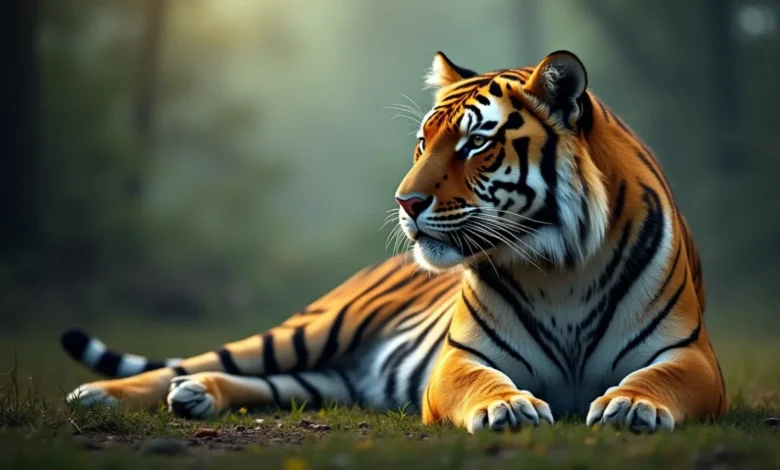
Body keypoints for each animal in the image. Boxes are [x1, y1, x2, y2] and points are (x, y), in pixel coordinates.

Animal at [62, 50, 726, 434]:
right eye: (423, 141)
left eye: (475, 143)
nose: (405, 202)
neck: (557, 266)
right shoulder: (458, 359)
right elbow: (484, 383)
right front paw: (508, 408)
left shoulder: (693, 356)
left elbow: (657, 380)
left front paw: (632, 406)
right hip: (314, 329)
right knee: (198, 361)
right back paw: (99, 395)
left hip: (328, 378)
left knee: (263, 384)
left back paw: (195, 397)